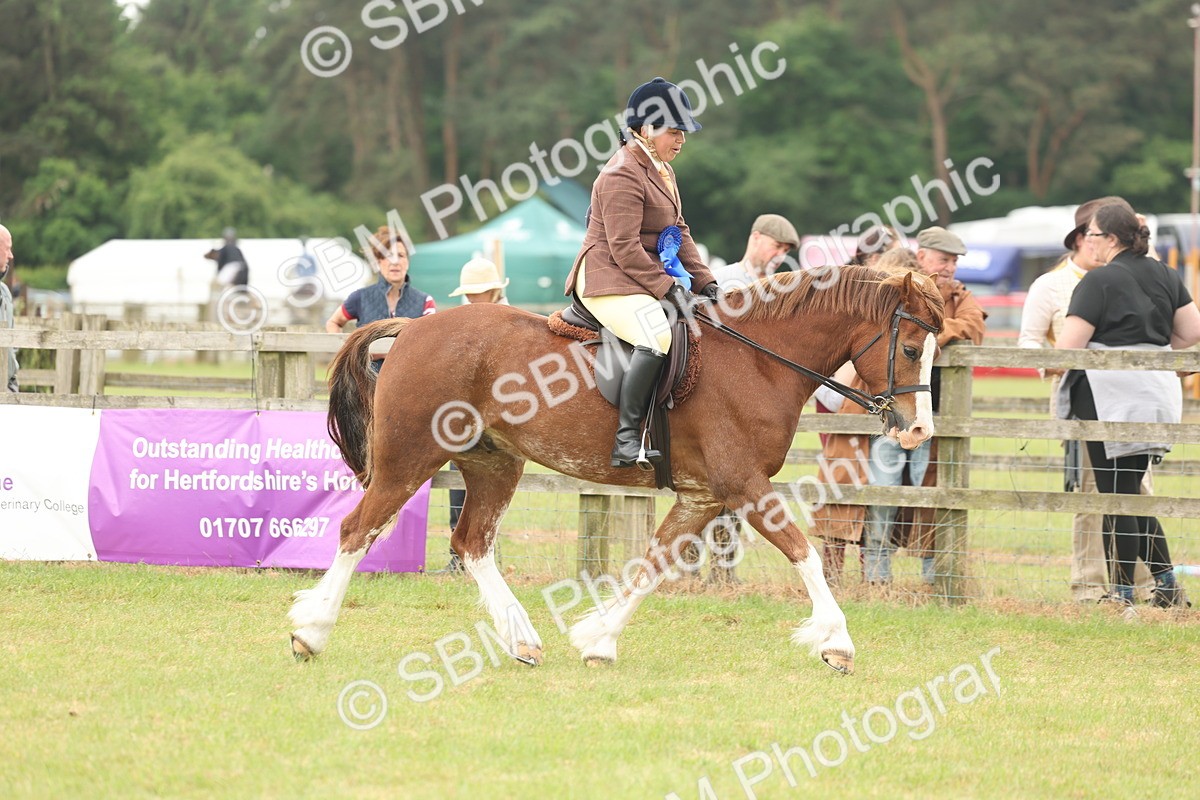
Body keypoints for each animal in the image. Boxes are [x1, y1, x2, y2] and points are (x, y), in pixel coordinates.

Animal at [289, 266, 944, 675]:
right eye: (912, 349)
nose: (919, 433)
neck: (756, 361)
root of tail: (413, 327)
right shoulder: (743, 486)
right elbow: (802, 551)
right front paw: (837, 642)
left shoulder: (703, 496)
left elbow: (651, 565)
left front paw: (597, 640)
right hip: (407, 461)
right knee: (357, 531)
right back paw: (310, 631)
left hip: (494, 463)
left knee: (472, 542)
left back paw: (522, 639)